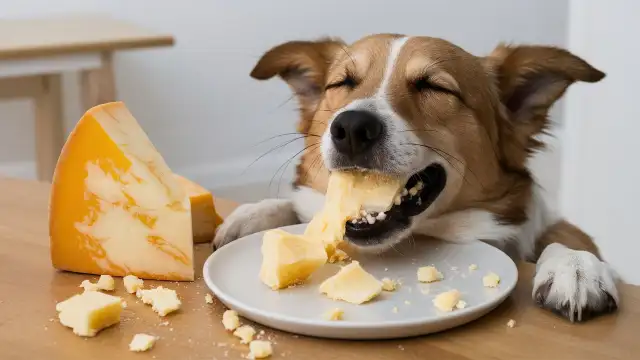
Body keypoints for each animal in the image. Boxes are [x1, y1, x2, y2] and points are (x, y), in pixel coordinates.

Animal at [212, 33, 616, 320]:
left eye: (434, 86)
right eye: (342, 83)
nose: (352, 128)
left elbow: (566, 239)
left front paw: (575, 267)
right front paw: (253, 215)